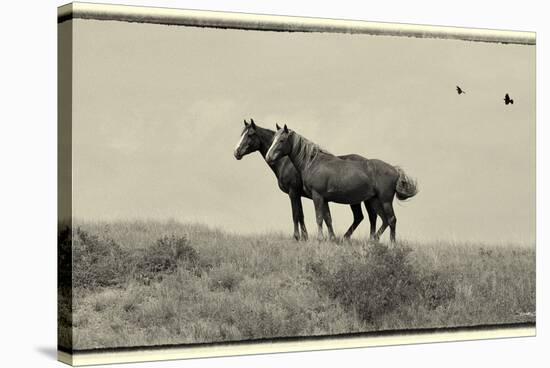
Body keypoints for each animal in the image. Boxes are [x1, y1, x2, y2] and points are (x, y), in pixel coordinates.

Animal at [235, 119, 382, 242]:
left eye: (250, 135)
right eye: (242, 134)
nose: (236, 152)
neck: (286, 162)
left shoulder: (293, 192)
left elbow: (296, 214)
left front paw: (297, 237)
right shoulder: (299, 194)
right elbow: (301, 215)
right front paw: (305, 237)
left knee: (363, 217)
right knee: (362, 217)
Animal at [266, 125, 418, 243]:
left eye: (282, 140)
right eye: (273, 139)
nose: (269, 157)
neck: (313, 163)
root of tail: (395, 170)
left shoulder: (317, 196)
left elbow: (319, 218)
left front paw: (320, 239)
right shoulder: (324, 199)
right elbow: (328, 218)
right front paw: (331, 239)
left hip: (385, 200)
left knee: (391, 220)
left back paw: (392, 245)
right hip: (374, 200)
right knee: (383, 220)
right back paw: (373, 241)